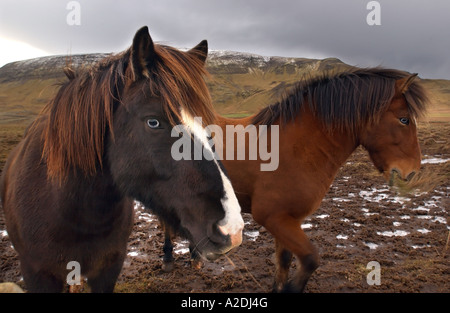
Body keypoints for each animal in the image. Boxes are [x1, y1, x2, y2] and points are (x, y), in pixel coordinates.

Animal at [160, 67, 428, 292]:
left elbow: (284, 260)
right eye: (404, 119)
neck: (297, 147)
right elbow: (310, 259)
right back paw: (169, 259)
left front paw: (278, 287)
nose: (413, 171)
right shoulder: (273, 216)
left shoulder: (287, 219)